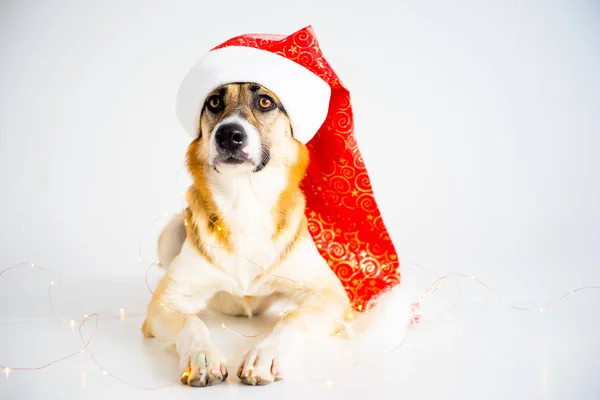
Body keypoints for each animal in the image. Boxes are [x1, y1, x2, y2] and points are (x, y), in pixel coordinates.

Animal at [142, 83, 352, 386]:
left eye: (265, 101)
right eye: (214, 102)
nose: (229, 135)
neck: (244, 203)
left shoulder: (329, 295)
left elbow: (291, 317)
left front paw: (265, 355)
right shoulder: (165, 301)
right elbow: (191, 321)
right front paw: (202, 357)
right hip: (171, 233)